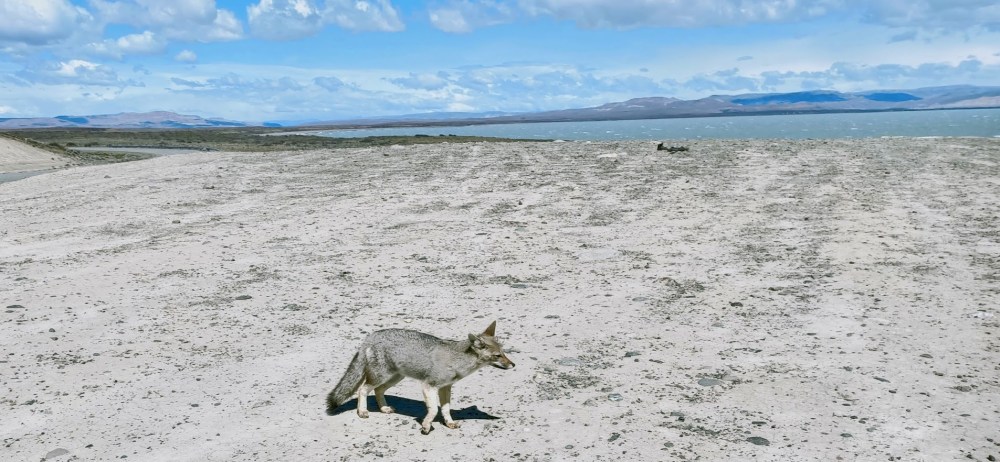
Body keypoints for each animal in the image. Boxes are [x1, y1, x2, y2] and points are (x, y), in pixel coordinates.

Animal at [325, 320, 515, 435]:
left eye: (504, 353)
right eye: (498, 356)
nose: (513, 365)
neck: (457, 359)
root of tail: (370, 336)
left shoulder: (446, 387)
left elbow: (445, 409)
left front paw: (449, 423)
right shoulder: (428, 385)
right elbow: (434, 410)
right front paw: (426, 425)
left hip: (394, 378)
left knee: (378, 391)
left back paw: (384, 408)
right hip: (381, 376)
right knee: (362, 389)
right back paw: (362, 411)